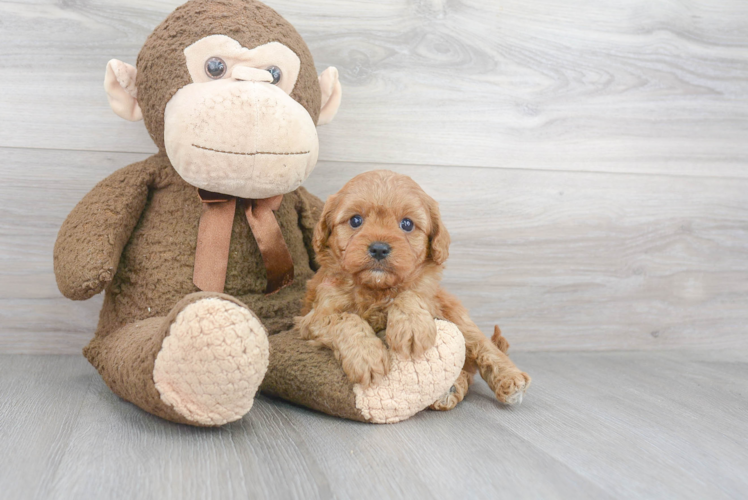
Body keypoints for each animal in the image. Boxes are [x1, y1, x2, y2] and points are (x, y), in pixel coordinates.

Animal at [296, 170, 528, 408]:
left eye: (407, 224)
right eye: (355, 220)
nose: (379, 248)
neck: (377, 289)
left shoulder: (428, 293)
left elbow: (410, 293)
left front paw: (411, 326)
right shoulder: (313, 318)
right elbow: (346, 319)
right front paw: (367, 356)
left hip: (455, 313)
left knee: (481, 345)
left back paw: (509, 379)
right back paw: (450, 389)